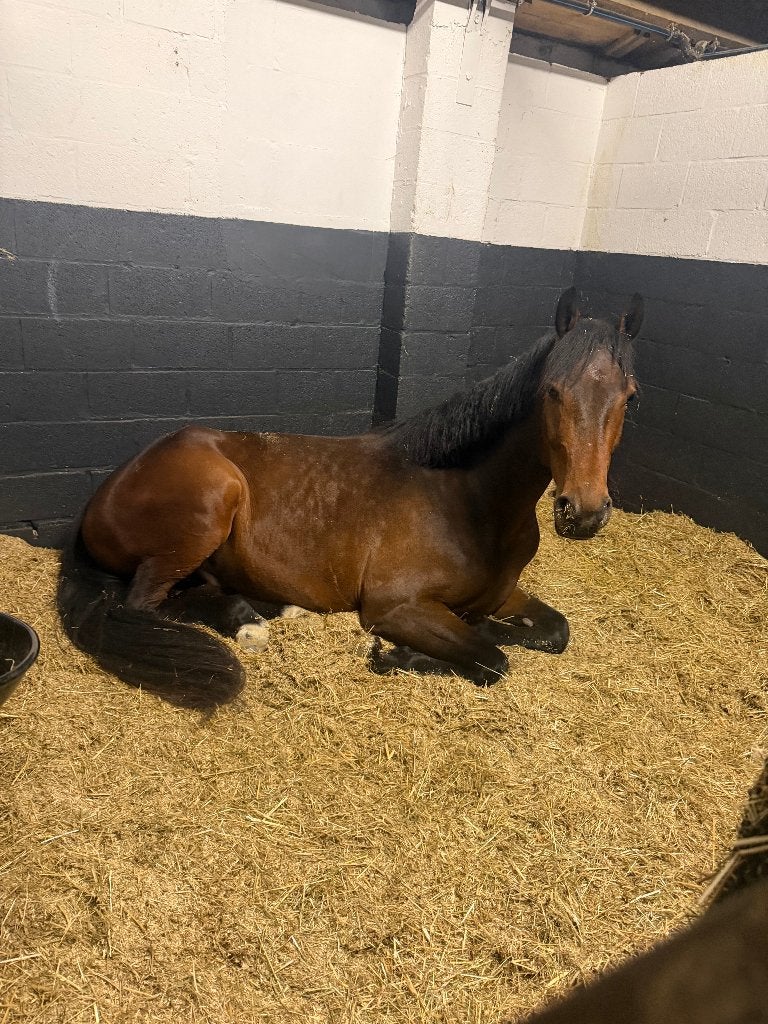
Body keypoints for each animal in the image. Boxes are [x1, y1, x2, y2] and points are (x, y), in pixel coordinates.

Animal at [56, 286, 643, 709]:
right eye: (552, 392)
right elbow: (491, 658)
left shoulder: (499, 594)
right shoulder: (397, 606)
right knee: (144, 604)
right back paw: (246, 623)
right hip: (212, 501)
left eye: (629, 397)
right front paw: (396, 656)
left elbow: (554, 631)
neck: (468, 502)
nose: (583, 511)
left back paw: (267, 611)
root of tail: (109, 489)